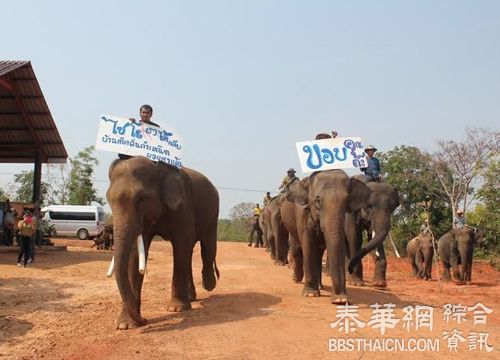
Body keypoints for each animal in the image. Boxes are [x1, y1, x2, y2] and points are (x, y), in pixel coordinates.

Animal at [106, 158, 220, 330]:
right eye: (108, 200)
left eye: (141, 198)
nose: (144, 320)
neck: (158, 168)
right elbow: (137, 251)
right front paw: (125, 325)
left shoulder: (183, 206)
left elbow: (181, 244)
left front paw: (176, 309)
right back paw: (192, 297)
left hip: (213, 212)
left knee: (207, 246)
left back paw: (208, 286)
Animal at [286, 172, 372, 304]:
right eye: (318, 200)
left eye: (346, 201)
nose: (339, 299)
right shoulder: (302, 215)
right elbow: (308, 246)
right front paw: (310, 294)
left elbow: (339, 247)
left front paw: (341, 299)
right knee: (297, 250)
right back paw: (296, 280)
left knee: (318, 253)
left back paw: (320, 286)